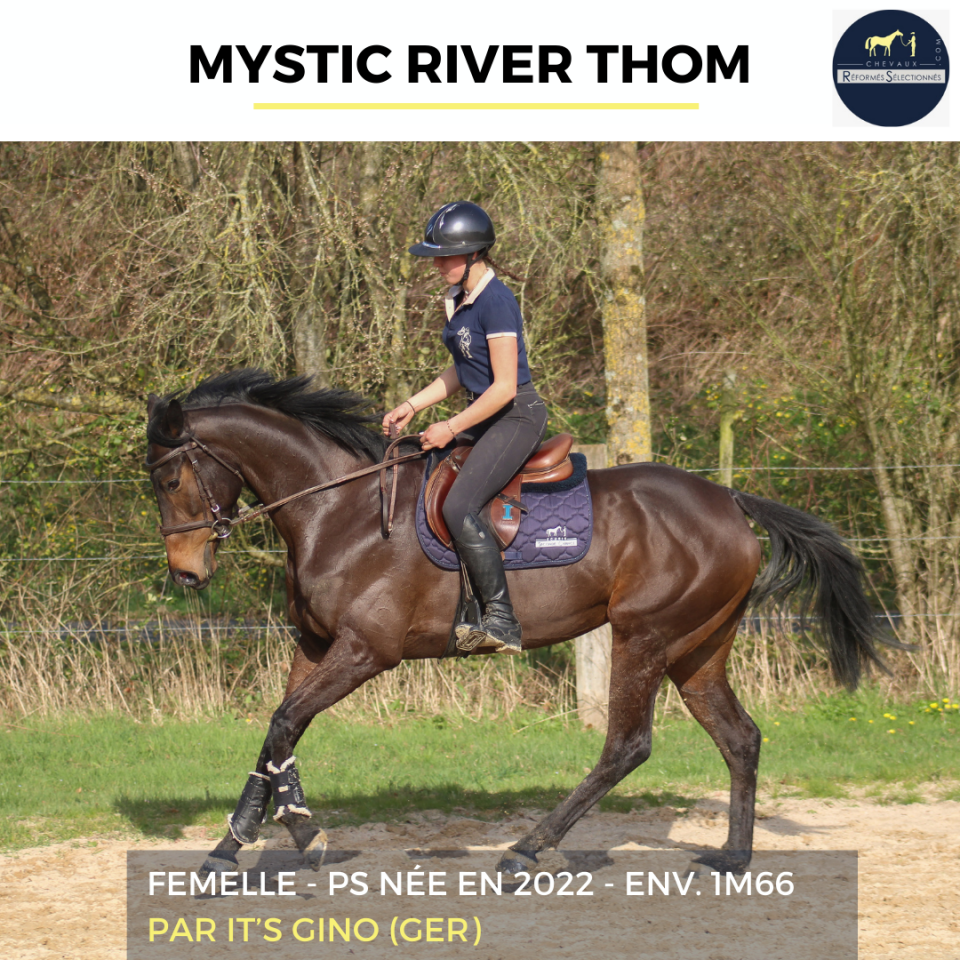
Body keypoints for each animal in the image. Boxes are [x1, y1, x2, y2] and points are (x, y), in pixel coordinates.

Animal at [144, 370, 886, 878]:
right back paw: (733, 856)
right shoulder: (317, 645)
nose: (186, 575)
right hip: (697, 647)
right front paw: (250, 842)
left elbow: (283, 725)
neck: (339, 511)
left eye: (168, 480)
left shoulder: (364, 651)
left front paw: (280, 838)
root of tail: (728, 499)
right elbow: (278, 733)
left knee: (627, 746)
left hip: (645, 637)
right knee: (739, 737)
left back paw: (527, 850)